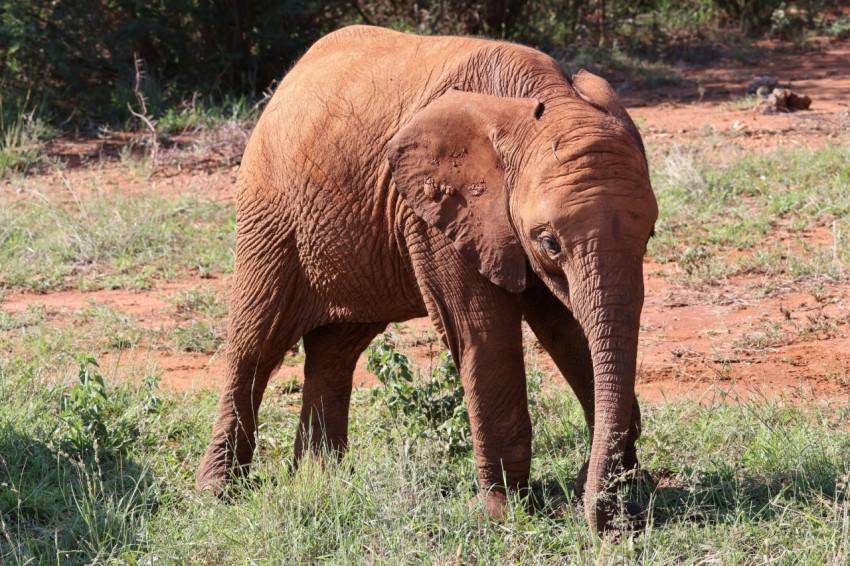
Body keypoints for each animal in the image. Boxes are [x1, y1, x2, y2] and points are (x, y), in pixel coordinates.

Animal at [197, 23, 656, 536]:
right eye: (550, 243)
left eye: (651, 233)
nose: (618, 524)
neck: (542, 100)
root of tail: (289, 80)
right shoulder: (438, 213)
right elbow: (483, 332)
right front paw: (505, 516)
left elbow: (567, 328)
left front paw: (614, 492)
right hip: (269, 213)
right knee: (256, 343)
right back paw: (218, 493)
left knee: (335, 351)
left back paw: (320, 482)